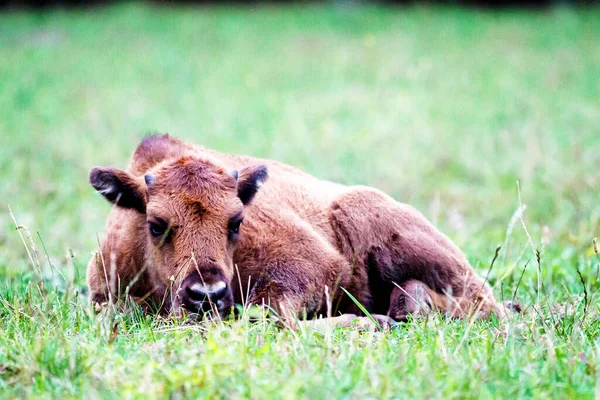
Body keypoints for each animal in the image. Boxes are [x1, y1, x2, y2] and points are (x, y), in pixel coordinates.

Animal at [86, 134, 512, 328]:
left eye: (236, 221)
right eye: (156, 224)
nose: (207, 296)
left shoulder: (313, 267)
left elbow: (269, 315)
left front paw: (368, 324)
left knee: (483, 303)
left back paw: (407, 306)